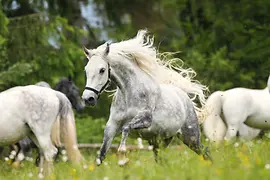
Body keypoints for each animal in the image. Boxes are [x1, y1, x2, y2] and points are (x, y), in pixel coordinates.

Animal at [82, 29, 211, 166]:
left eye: (102, 70)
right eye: (86, 70)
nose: (88, 98)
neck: (129, 93)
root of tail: (185, 98)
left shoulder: (145, 119)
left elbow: (125, 128)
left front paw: (122, 158)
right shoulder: (112, 124)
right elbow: (101, 154)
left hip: (191, 137)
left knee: (205, 153)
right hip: (161, 142)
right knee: (160, 160)